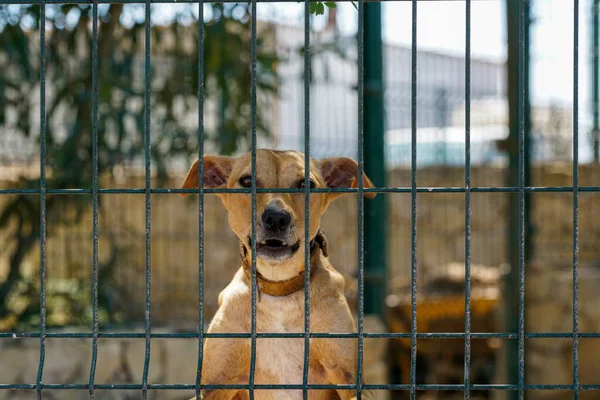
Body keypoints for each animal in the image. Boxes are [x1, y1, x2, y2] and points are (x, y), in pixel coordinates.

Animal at [180, 149, 372, 400]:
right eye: (247, 181)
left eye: (306, 184)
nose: (276, 217)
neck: (279, 291)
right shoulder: (212, 384)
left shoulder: (349, 380)